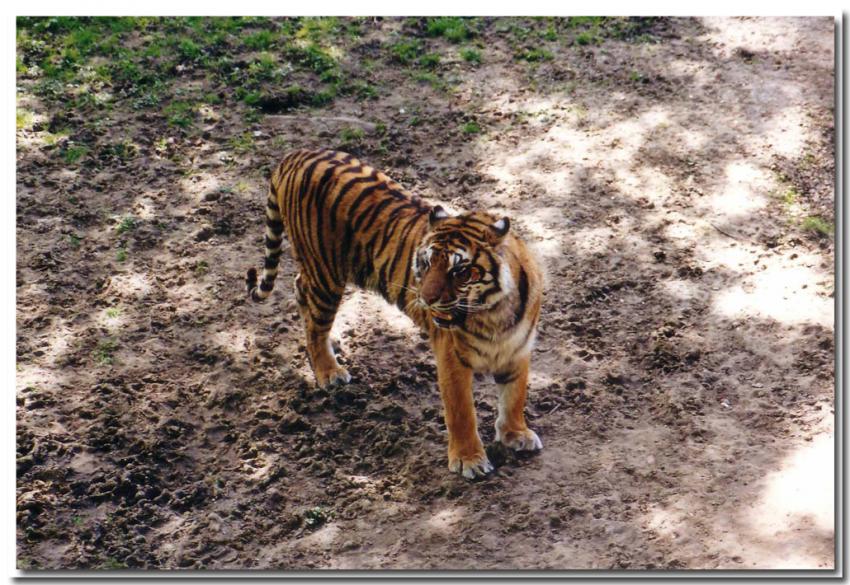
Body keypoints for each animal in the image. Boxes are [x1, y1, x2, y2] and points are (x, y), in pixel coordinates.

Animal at [246, 148, 544, 479]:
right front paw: (469, 459)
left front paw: (516, 434)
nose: (425, 299)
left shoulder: (518, 348)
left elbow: (515, 396)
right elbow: (462, 411)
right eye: (426, 263)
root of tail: (298, 153)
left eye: (460, 271)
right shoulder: (452, 359)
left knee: (301, 289)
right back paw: (328, 371)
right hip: (326, 273)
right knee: (313, 314)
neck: (495, 312)